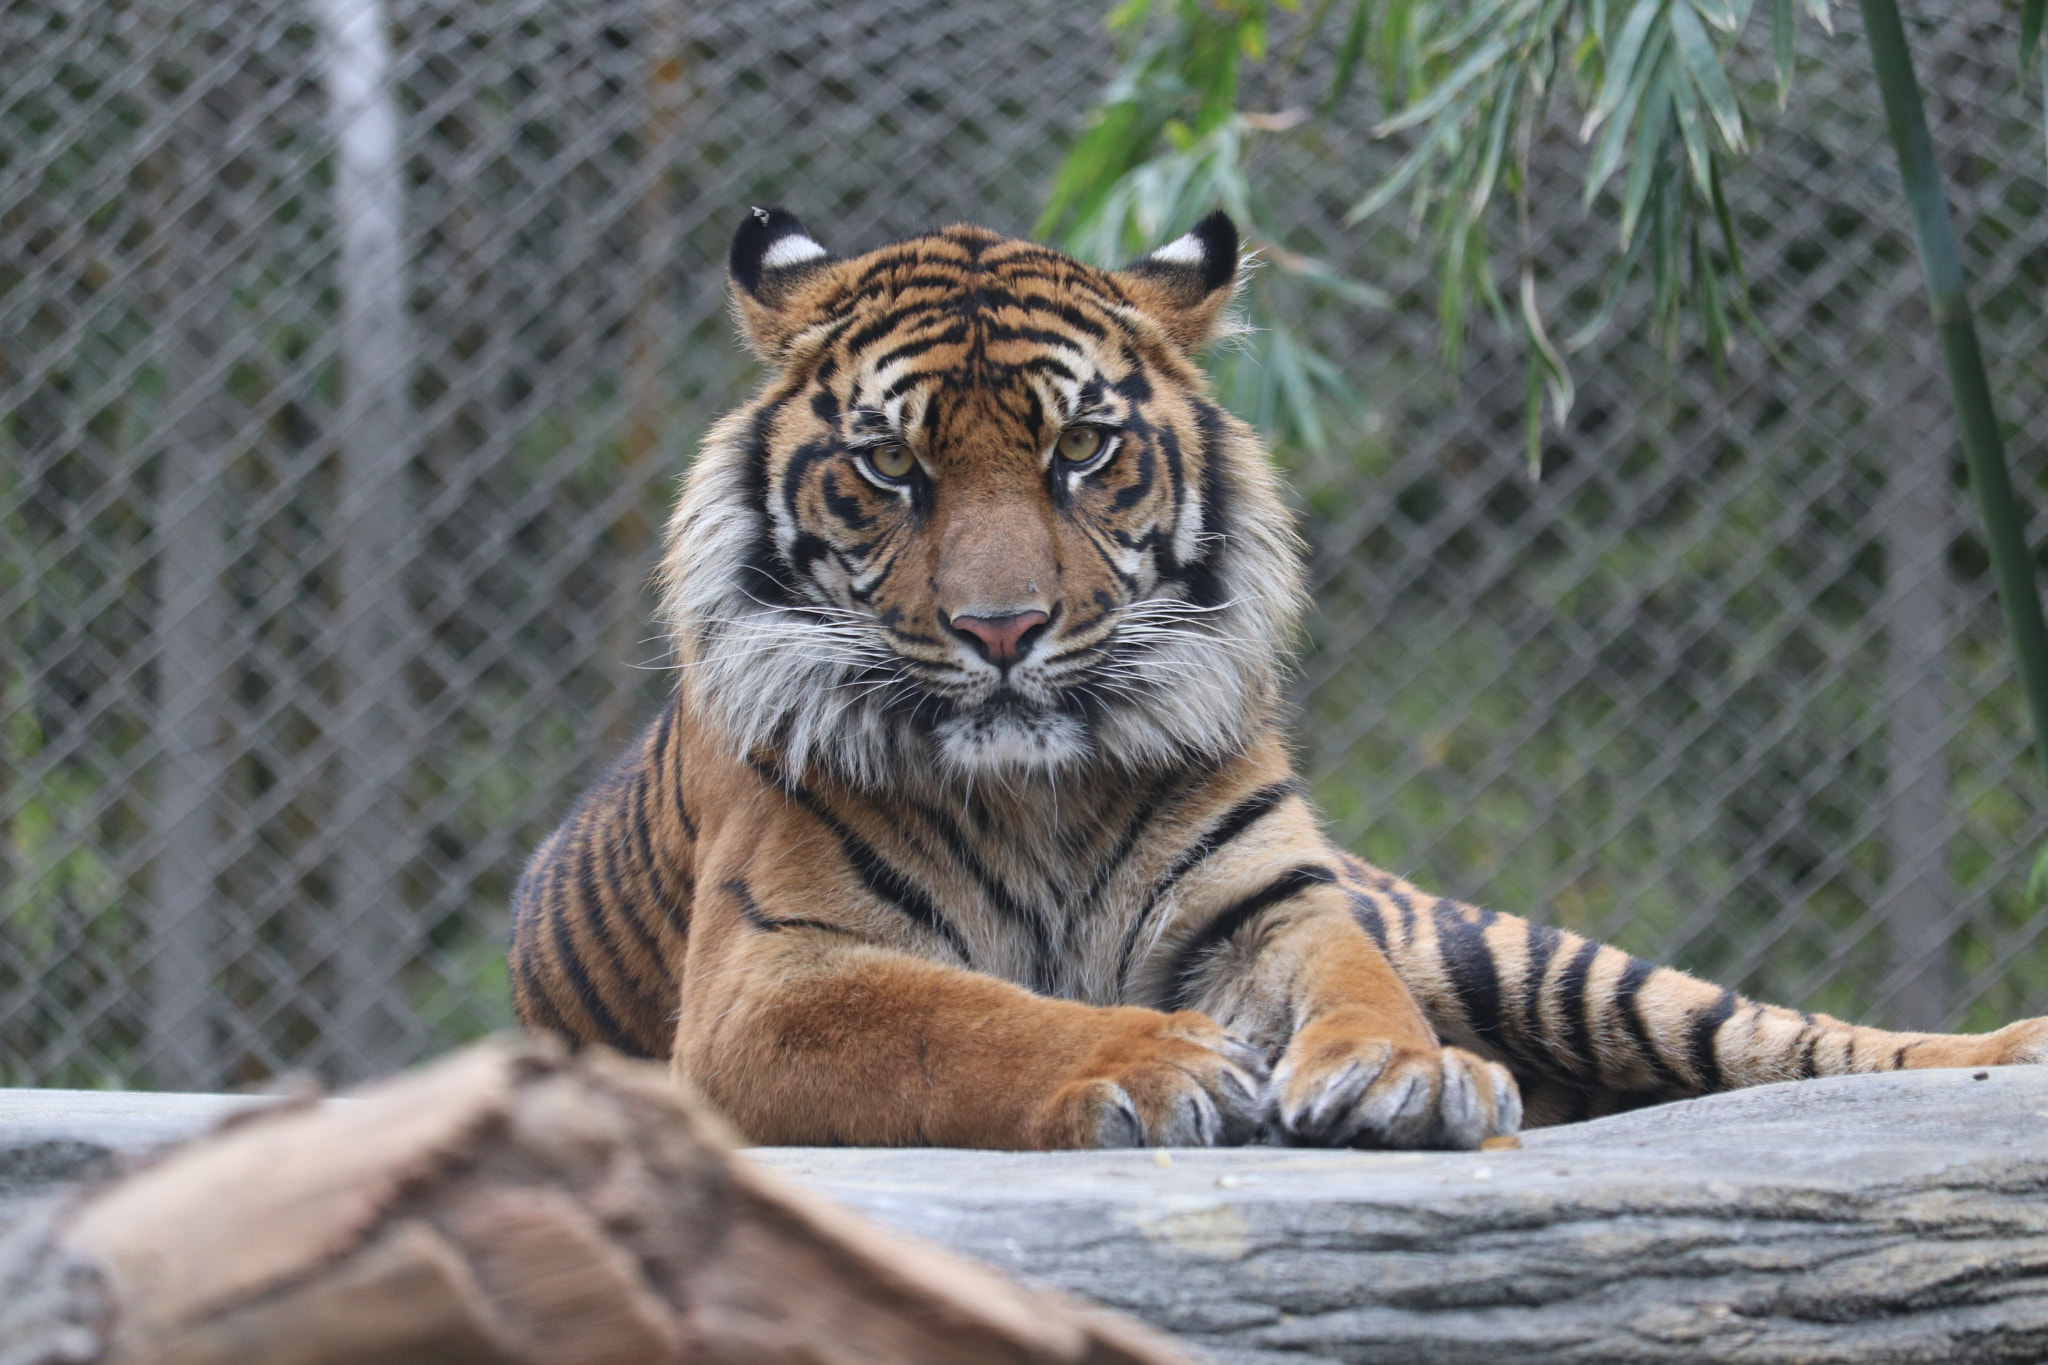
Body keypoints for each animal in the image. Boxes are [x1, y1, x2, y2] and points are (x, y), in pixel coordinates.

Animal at [507, 206, 2048, 1149]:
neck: (1035, 791)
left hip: (1528, 958)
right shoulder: (770, 984)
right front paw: (1152, 1060)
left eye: (1080, 450)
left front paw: (1403, 1073)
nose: (1002, 630)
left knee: (1768, 1034)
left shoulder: (1271, 899)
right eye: (891, 466)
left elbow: (1353, 980)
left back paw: (2003, 1047)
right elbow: (970, 1019)